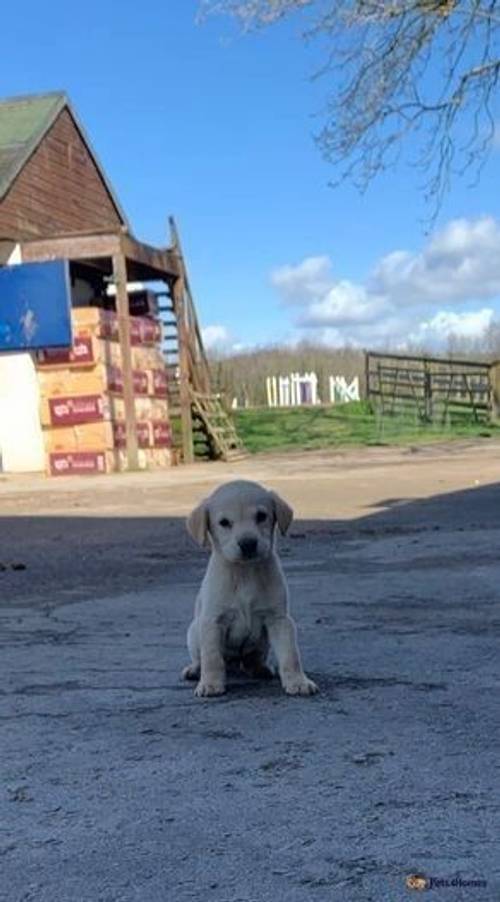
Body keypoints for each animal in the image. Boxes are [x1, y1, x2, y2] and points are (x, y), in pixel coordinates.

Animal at [182, 480, 318, 700]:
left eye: (261, 516)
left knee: (252, 660)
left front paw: (298, 682)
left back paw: (260, 668)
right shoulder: (212, 621)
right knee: (201, 659)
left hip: (262, 643)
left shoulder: (279, 619)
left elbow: (290, 655)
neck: (245, 573)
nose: (248, 544)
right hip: (194, 631)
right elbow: (212, 658)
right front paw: (210, 684)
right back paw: (194, 670)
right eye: (224, 522)